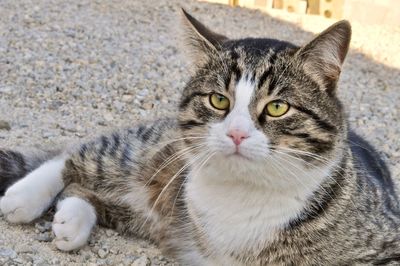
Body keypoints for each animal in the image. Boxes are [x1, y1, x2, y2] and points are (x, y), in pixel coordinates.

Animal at [0, 9, 400, 264]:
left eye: (277, 108)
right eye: (218, 100)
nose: (237, 132)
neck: (244, 195)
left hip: (146, 212)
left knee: (84, 192)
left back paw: (72, 222)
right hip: (148, 151)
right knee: (74, 156)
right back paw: (23, 197)